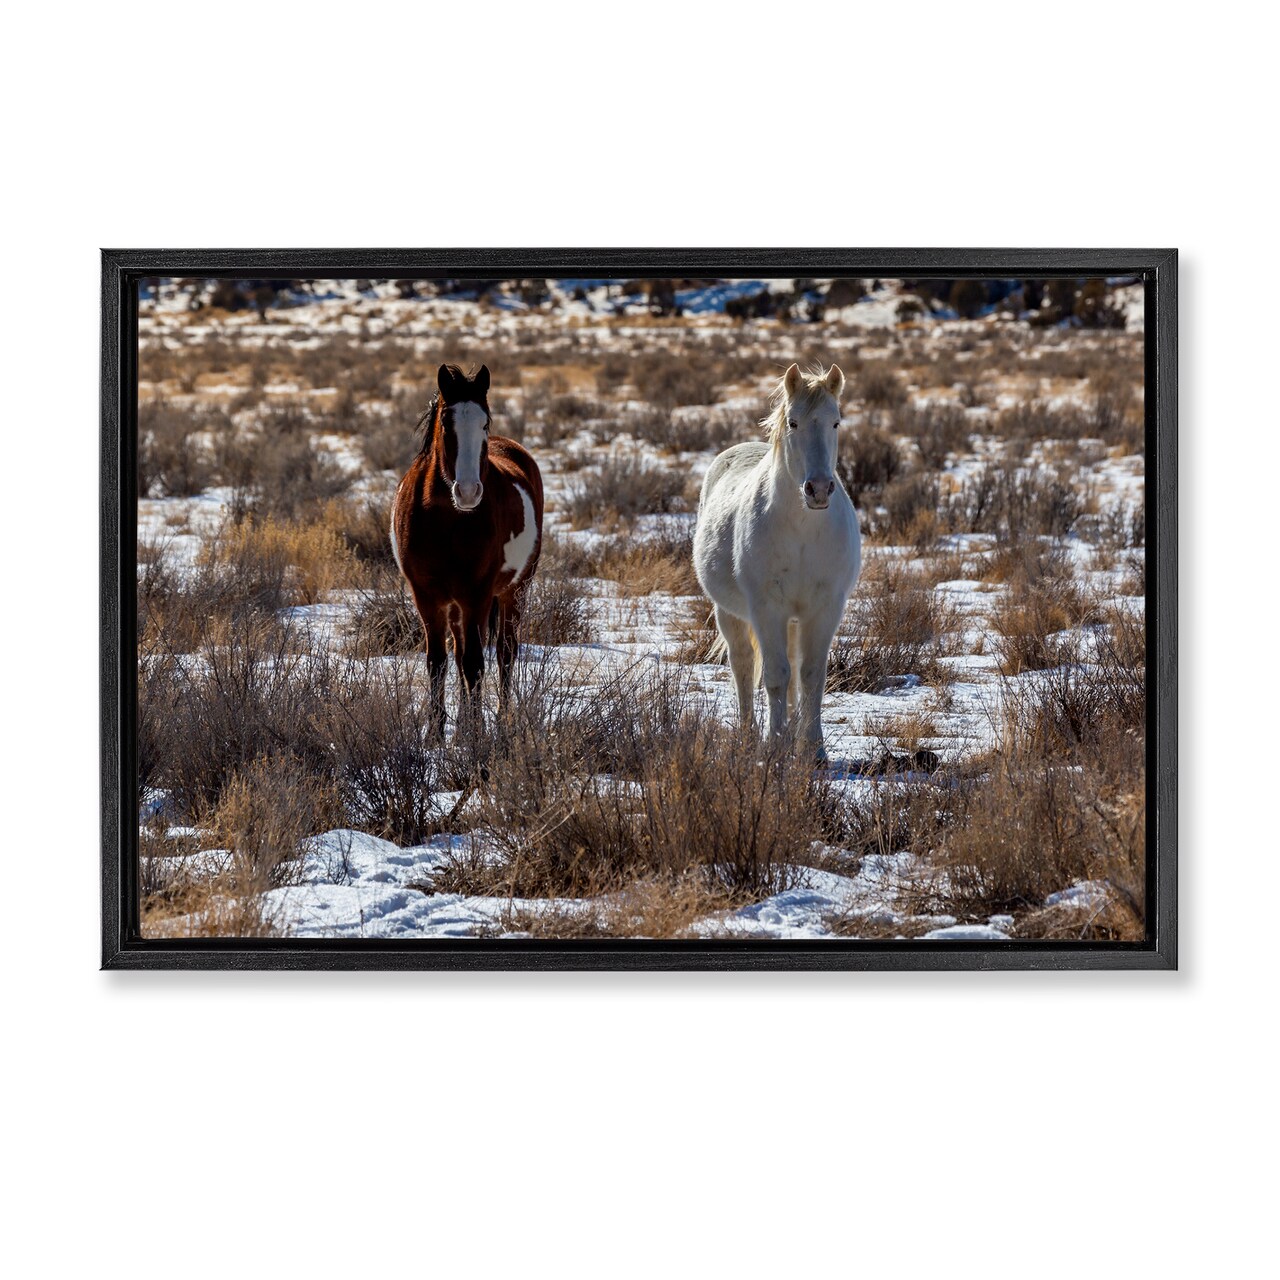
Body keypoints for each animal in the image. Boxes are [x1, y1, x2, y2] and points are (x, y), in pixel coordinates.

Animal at [391, 363, 544, 735]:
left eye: (485, 422)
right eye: (447, 423)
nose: (469, 492)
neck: (446, 520)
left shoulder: (478, 593)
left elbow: (475, 663)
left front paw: (475, 735)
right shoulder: (427, 596)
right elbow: (439, 661)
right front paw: (436, 734)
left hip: (514, 590)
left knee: (505, 653)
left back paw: (500, 721)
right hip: (459, 604)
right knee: (460, 653)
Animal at [692, 363, 860, 760]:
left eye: (836, 422)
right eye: (794, 422)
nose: (818, 490)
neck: (802, 528)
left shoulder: (825, 608)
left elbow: (811, 675)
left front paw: (814, 750)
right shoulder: (767, 609)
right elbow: (775, 675)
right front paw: (775, 745)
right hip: (730, 614)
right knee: (742, 664)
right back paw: (748, 734)